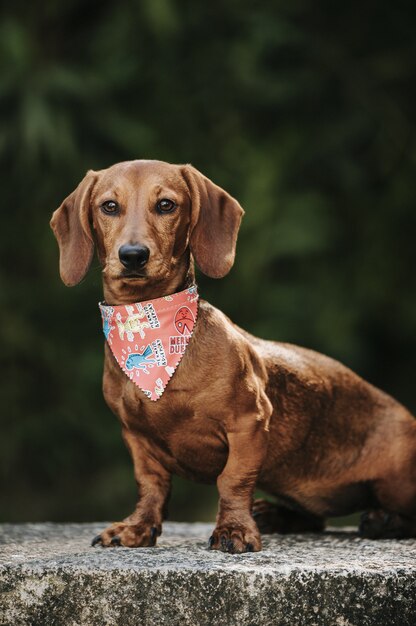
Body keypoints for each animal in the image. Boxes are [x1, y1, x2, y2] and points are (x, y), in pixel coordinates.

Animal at [51, 157, 416, 552]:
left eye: (166, 205)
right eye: (109, 206)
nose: (133, 255)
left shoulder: (249, 423)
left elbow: (233, 480)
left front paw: (235, 529)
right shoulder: (136, 438)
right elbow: (150, 486)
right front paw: (137, 527)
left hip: (396, 482)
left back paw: (383, 520)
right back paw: (275, 515)